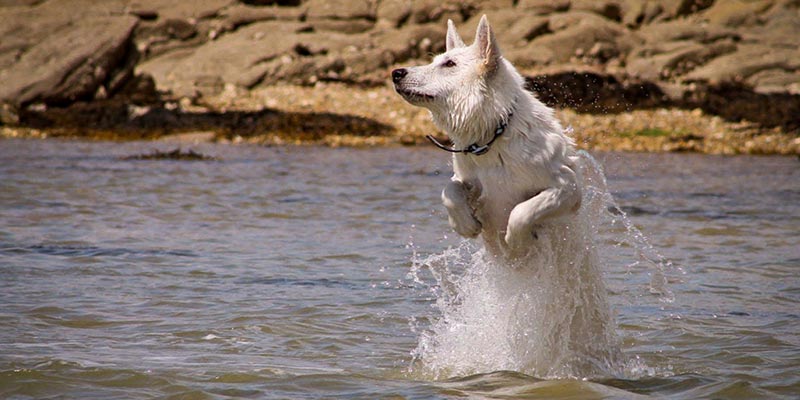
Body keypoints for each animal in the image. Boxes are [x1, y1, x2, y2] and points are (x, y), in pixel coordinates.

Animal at [394, 16, 624, 378]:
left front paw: (517, 244)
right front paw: (466, 224)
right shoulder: (468, 177)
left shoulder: (567, 189)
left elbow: (522, 210)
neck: (493, 135)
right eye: (437, 60)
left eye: (449, 64)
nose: (396, 72)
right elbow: (450, 189)